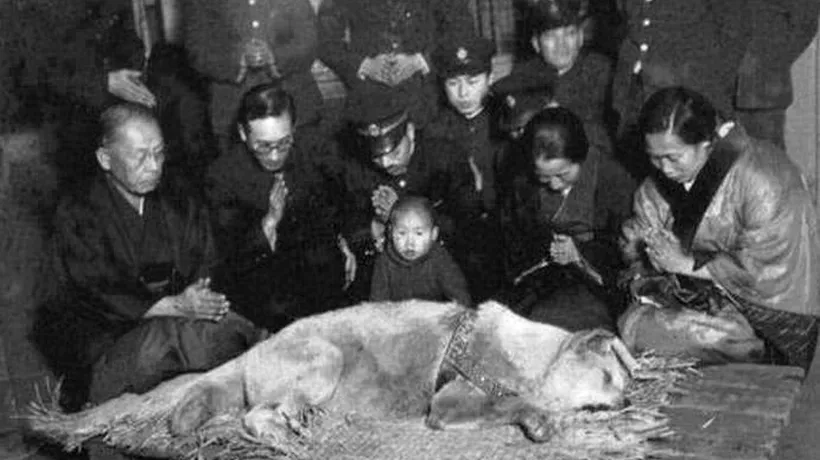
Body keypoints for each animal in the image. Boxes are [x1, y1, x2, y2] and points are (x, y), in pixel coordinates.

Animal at [168, 300, 640, 444]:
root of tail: (253, 351)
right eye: (606, 378)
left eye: (622, 380)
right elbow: (512, 403)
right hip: (325, 358)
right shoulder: (448, 405)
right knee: (253, 415)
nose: (629, 400)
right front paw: (540, 419)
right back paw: (282, 433)